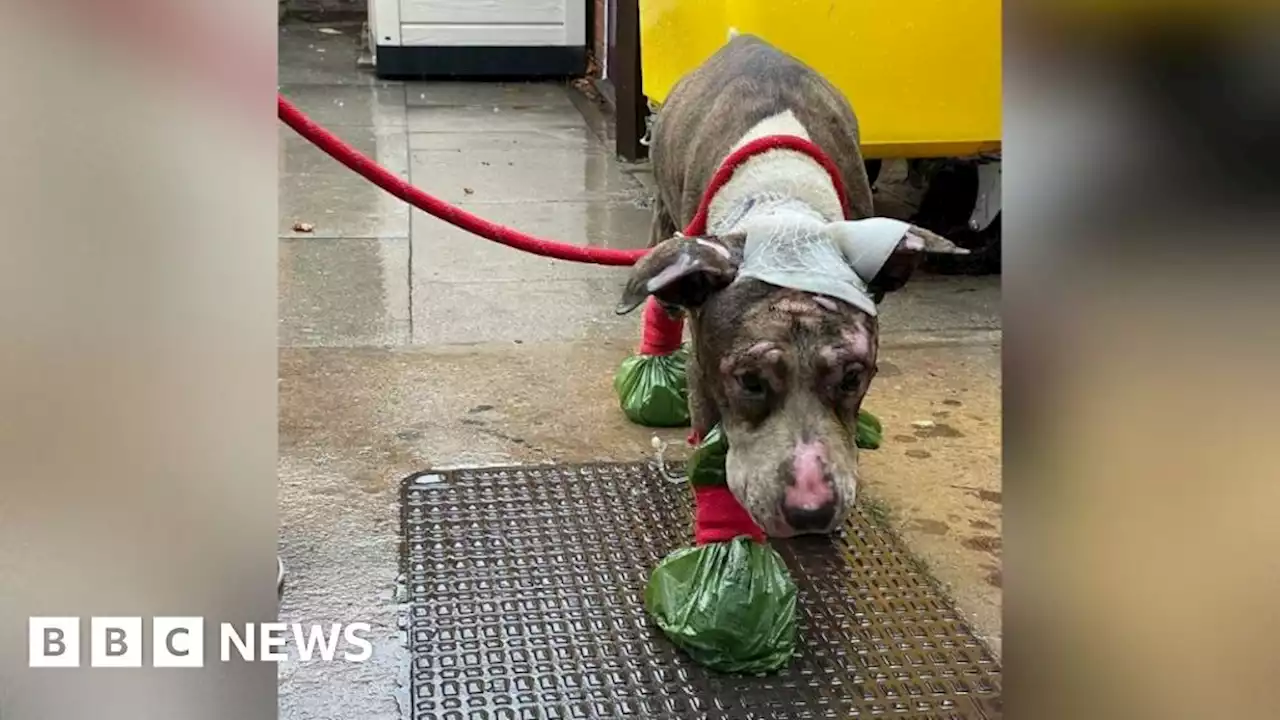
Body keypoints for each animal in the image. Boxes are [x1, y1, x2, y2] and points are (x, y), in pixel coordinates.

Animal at [614, 35, 962, 538]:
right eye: (749, 381)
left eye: (854, 377)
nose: (811, 512)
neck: (783, 210)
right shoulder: (705, 372)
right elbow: (713, 457)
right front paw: (727, 542)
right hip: (666, 225)